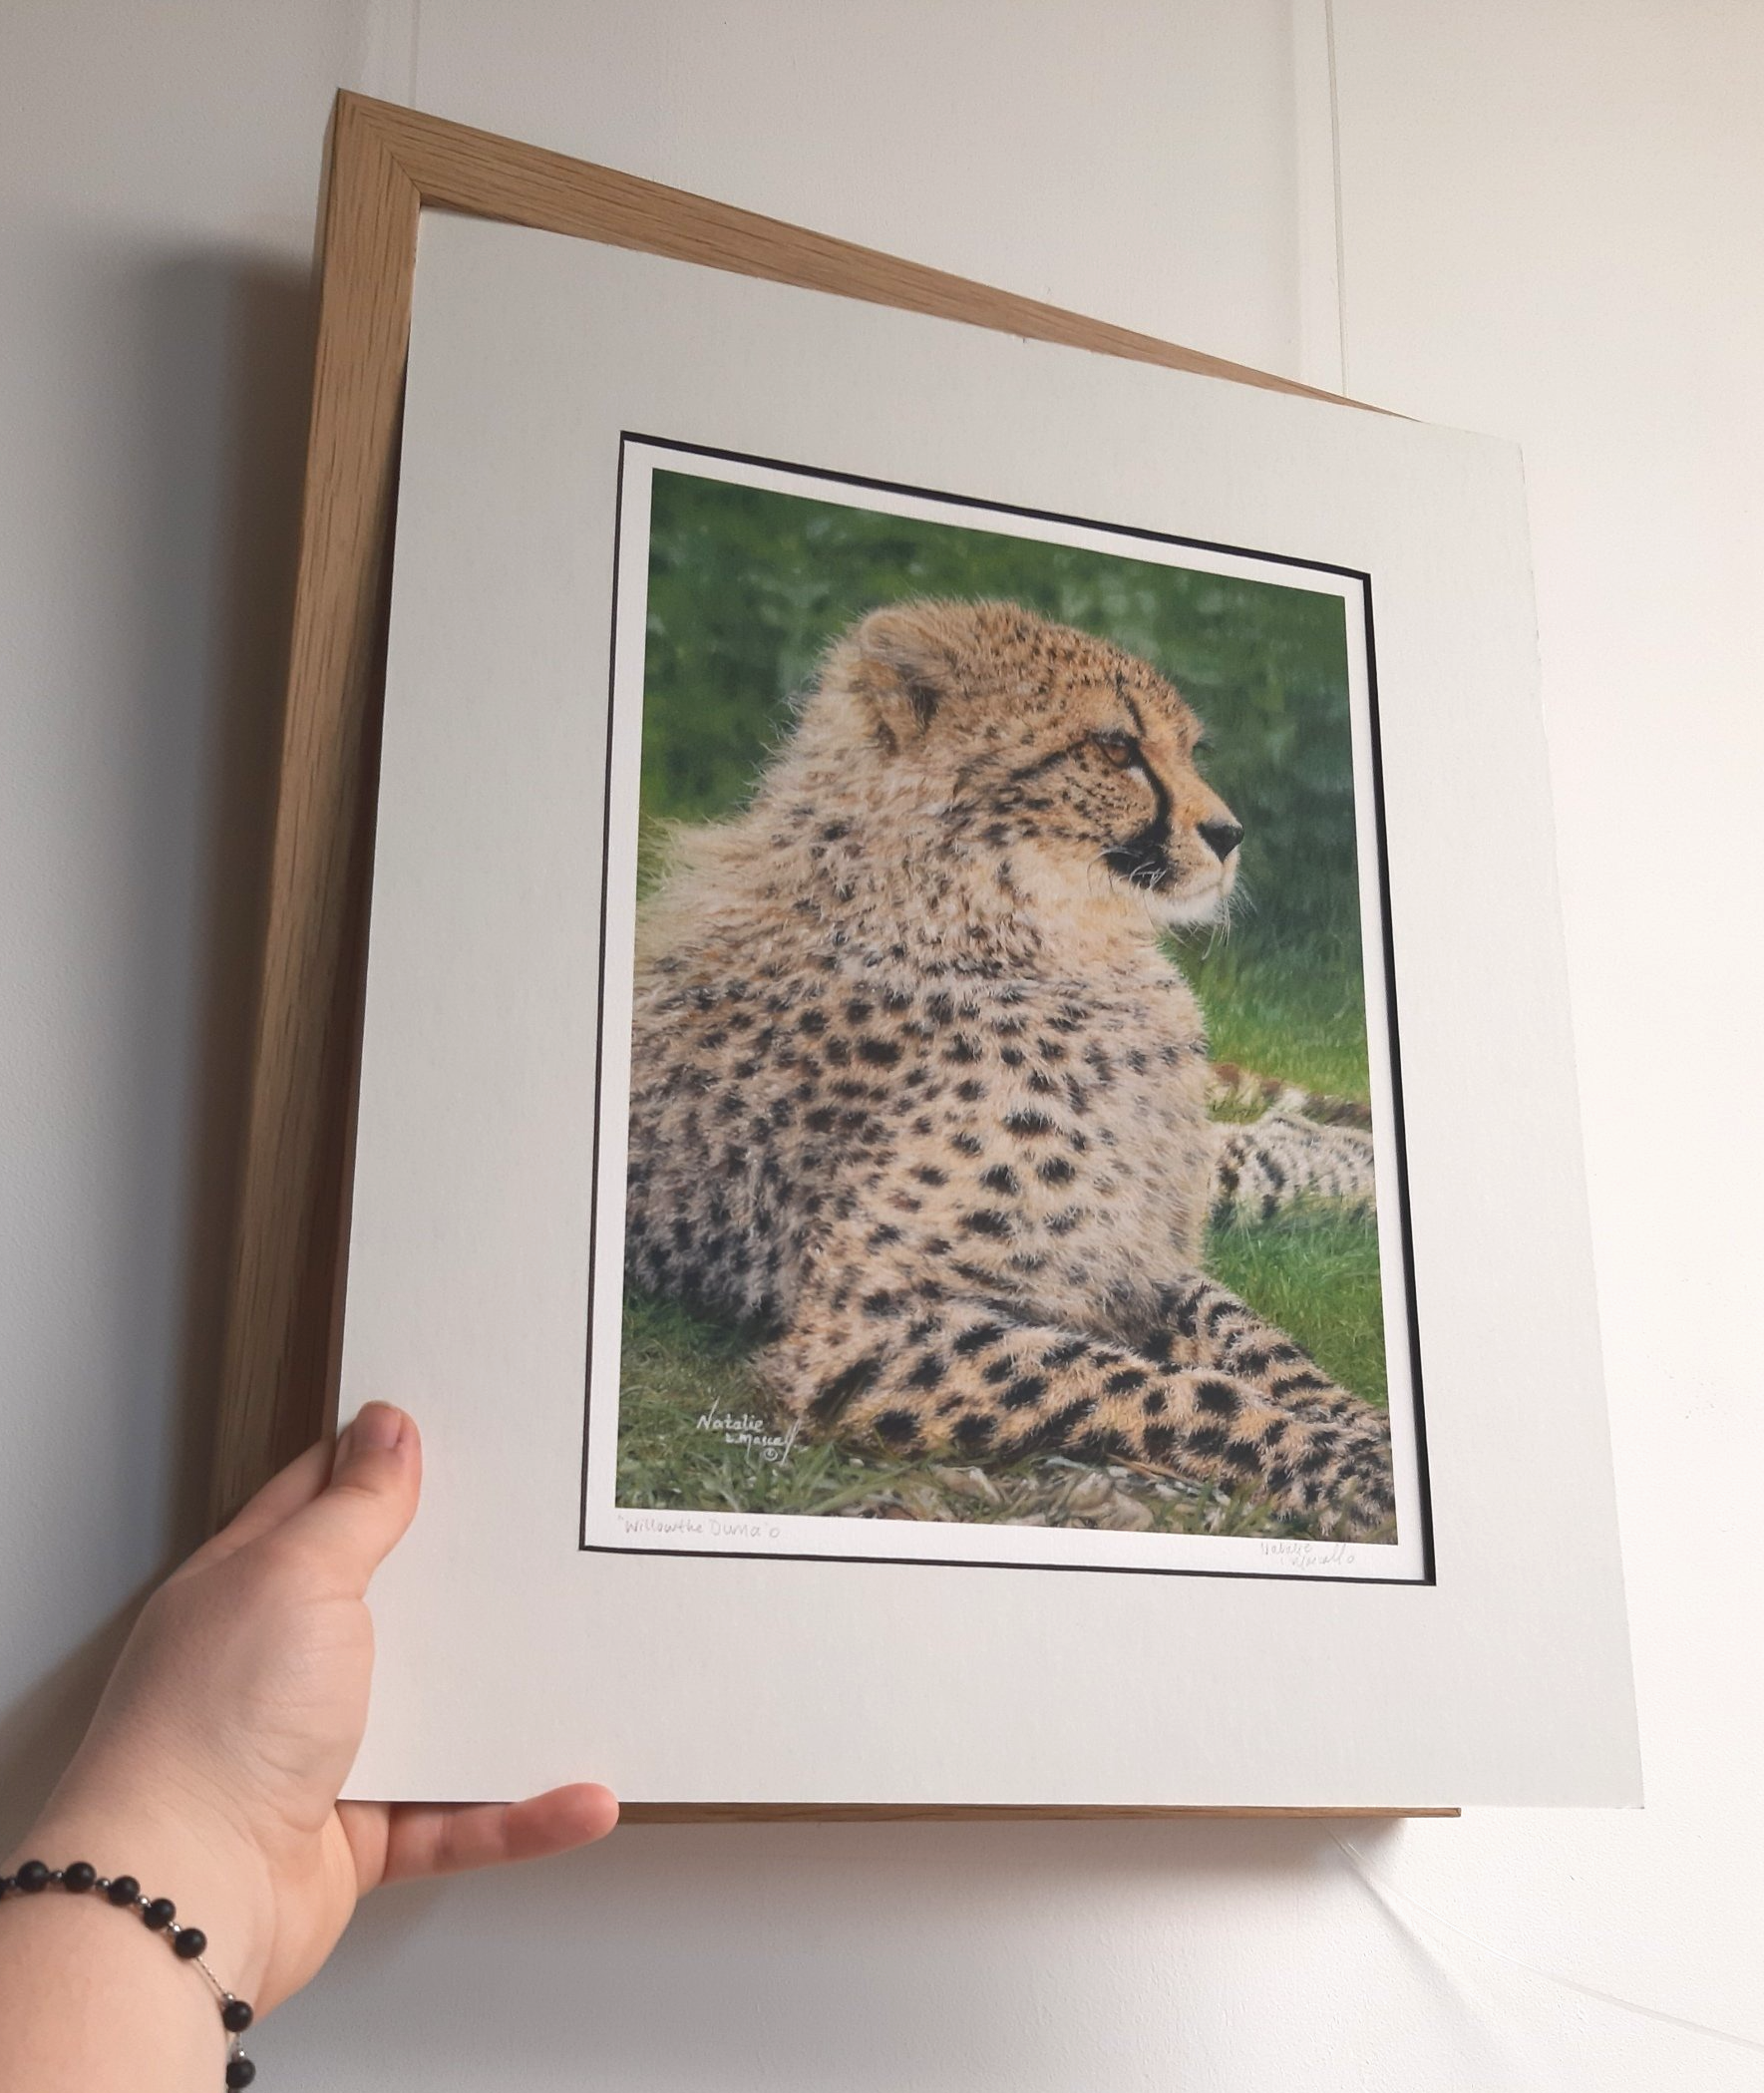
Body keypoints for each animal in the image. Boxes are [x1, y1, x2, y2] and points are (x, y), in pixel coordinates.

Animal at [623, 599, 1394, 1538]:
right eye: (1114, 746)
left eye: (1186, 747)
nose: (1228, 834)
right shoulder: (863, 1335)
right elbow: (1166, 1388)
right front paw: (1354, 1466)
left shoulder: (1137, 1251)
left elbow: (1254, 1336)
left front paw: (1362, 1423)